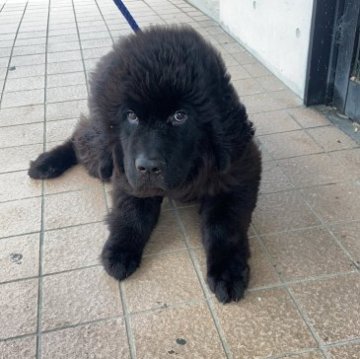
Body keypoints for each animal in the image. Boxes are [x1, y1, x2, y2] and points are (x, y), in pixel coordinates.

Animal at [28, 25, 262, 304]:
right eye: (131, 116)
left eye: (180, 116)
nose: (148, 167)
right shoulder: (128, 173)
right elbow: (134, 212)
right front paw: (120, 250)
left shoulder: (237, 173)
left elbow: (224, 225)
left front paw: (227, 271)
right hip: (102, 156)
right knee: (81, 139)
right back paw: (46, 163)